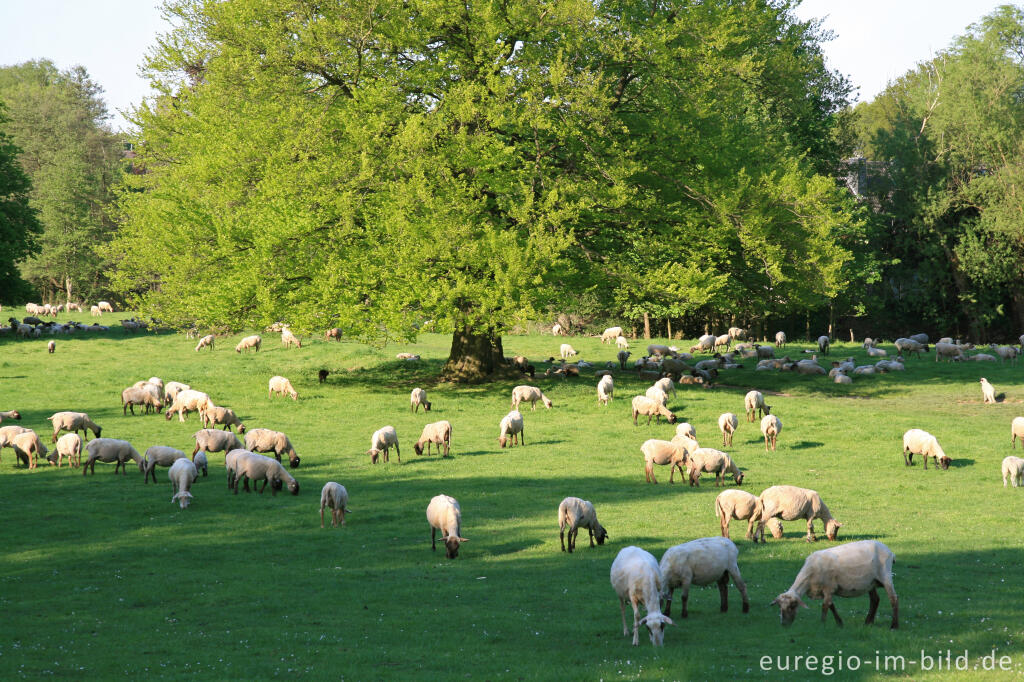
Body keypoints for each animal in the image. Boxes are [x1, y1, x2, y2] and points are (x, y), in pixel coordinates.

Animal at [770, 536, 901, 626]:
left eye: (792, 606)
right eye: (780, 607)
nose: (784, 625)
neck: (809, 578)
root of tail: (890, 552)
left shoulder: (829, 587)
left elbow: (825, 607)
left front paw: (822, 624)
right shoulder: (825, 590)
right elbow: (831, 606)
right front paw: (839, 623)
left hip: (885, 575)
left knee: (893, 599)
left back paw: (894, 626)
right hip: (870, 582)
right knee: (875, 600)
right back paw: (868, 622)